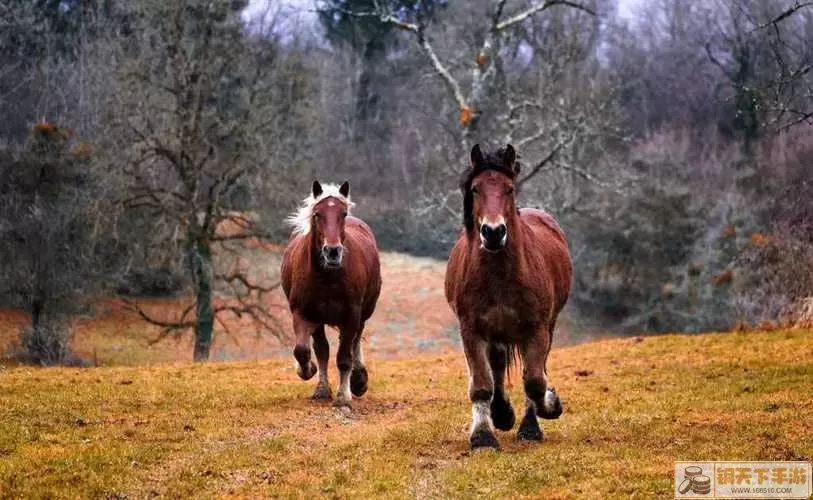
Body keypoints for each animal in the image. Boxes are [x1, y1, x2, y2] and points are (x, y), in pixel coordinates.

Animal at [280, 182, 382, 408]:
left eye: (342, 214)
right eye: (317, 214)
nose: (333, 251)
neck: (327, 277)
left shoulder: (351, 316)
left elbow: (344, 357)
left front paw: (344, 396)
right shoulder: (304, 314)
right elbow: (305, 350)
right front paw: (310, 374)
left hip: (363, 312)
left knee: (356, 340)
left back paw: (358, 380)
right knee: (322, 349)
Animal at [444, 144, 572, 450]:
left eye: (509, 188)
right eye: (476, 188)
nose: (493, 232)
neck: (499, 276)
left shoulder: (537, 329)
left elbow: (535, 381)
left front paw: (548, 408)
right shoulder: (472, 330)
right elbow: (481, 384)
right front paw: (483, 435)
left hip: (544, 327)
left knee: (532, 370)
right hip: (496, 333)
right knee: (498, 366)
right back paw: (501, 413)